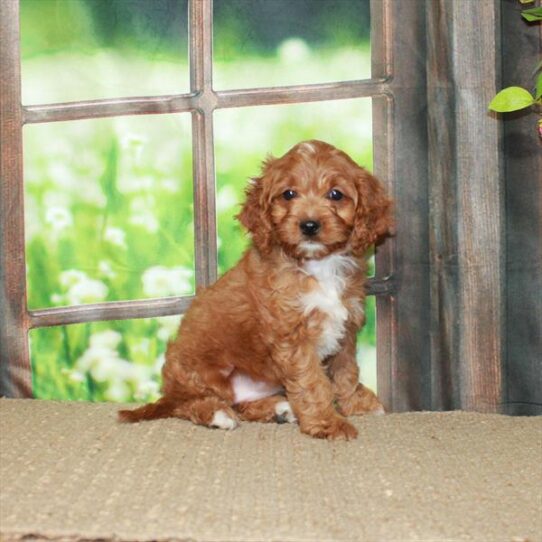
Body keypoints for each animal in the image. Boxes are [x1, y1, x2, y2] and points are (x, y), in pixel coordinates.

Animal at [119, 141, 394, 442]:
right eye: (288, 194)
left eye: (336, 194)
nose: (309, 225)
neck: (317, 264)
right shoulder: (292, 336)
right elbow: (312, 382)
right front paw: (328, 422)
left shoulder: (346, 326)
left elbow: (346, 371)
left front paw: (355, 403)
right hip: (200, 372)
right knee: (187, 404)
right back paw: (218, 414)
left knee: (242, 405)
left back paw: (279, 408)